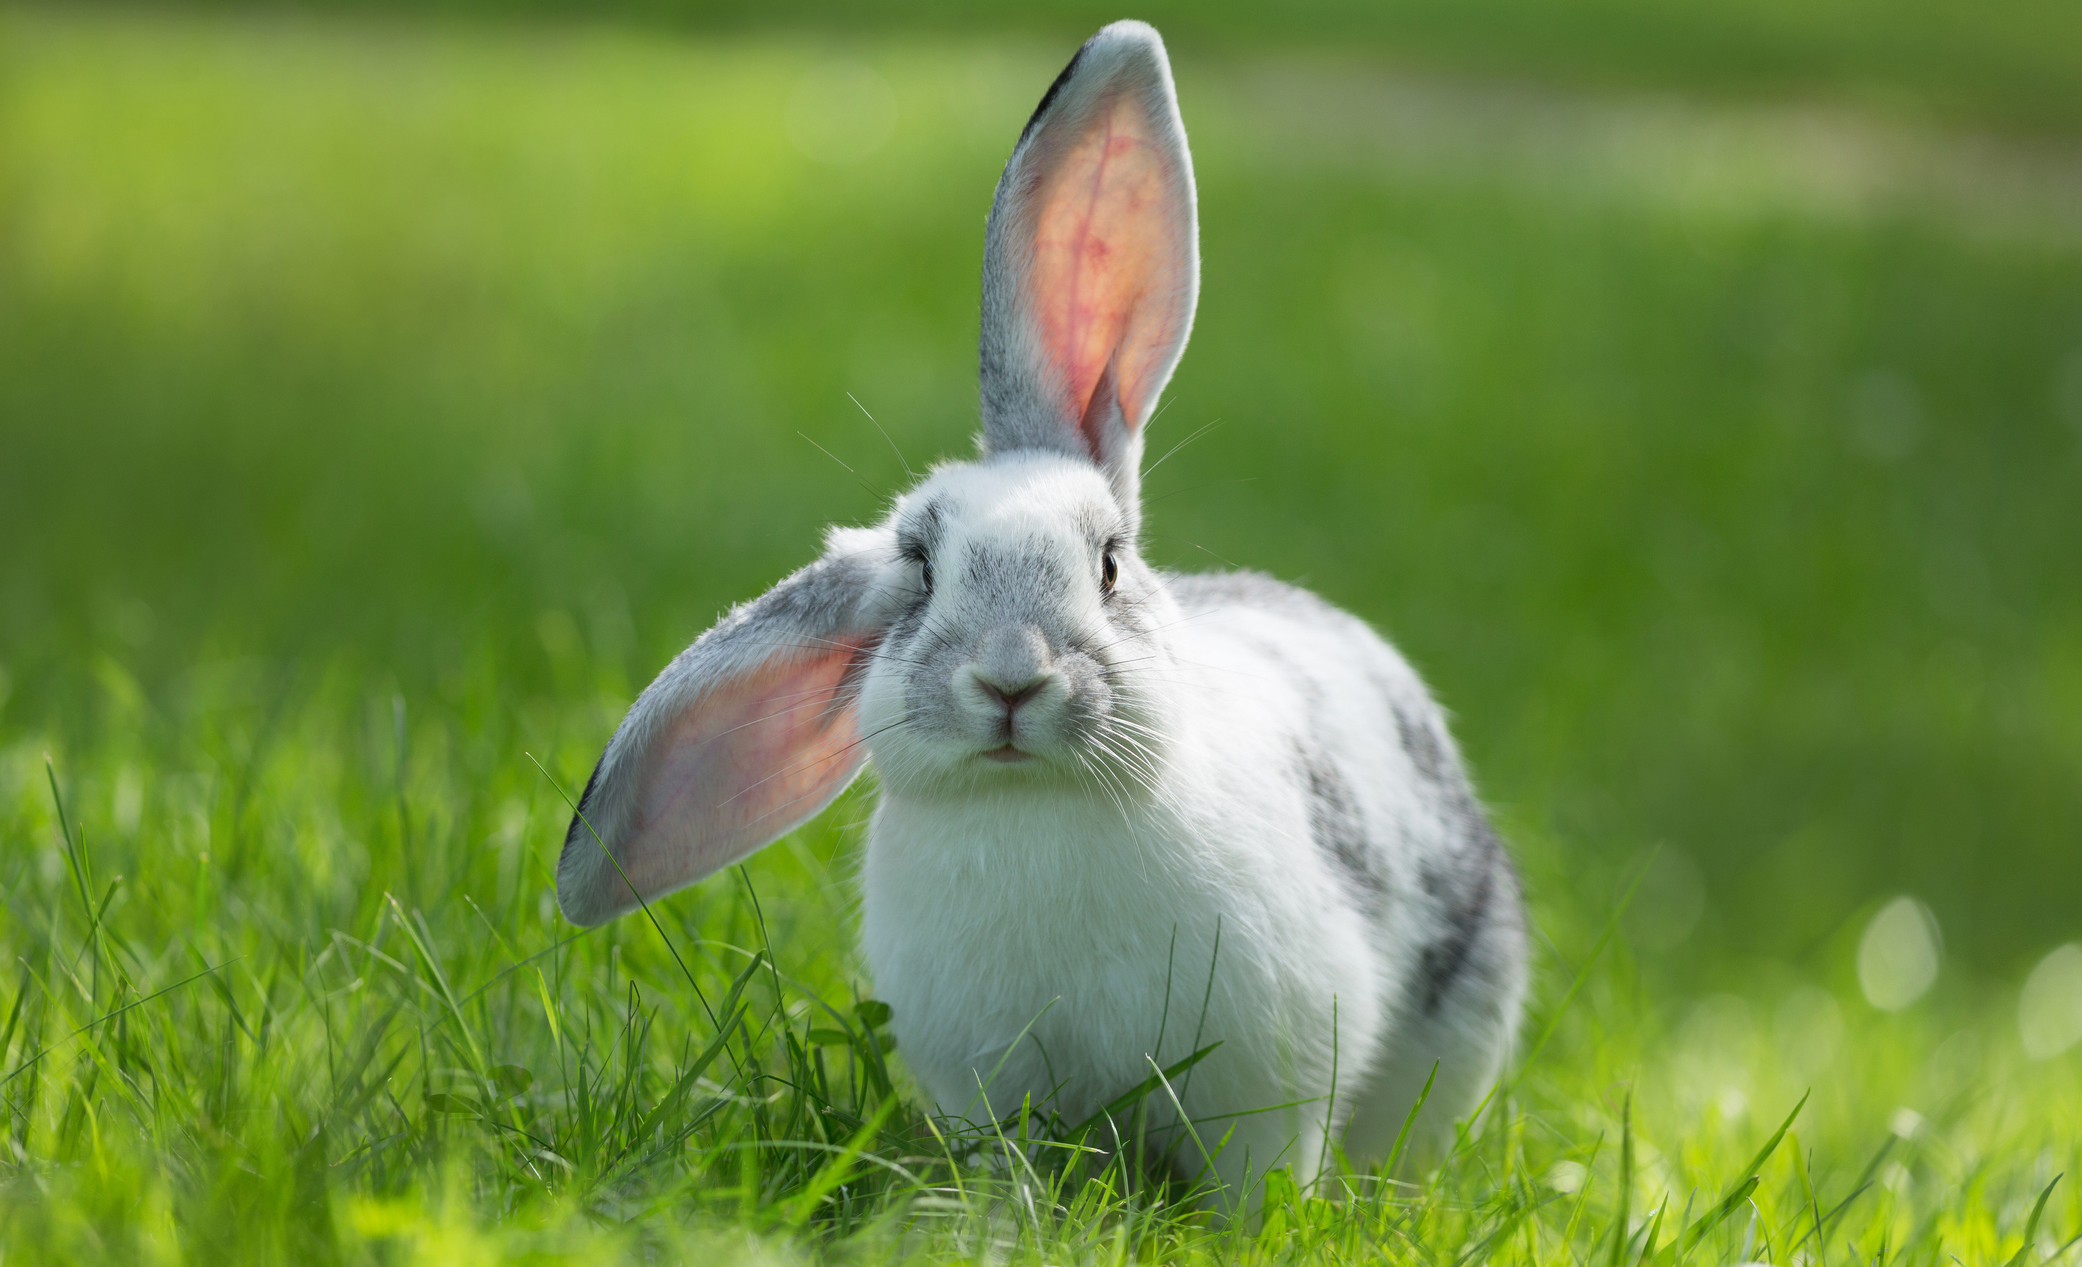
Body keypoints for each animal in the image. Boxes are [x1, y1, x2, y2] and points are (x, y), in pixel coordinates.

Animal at [555, 19, 1527, 1204]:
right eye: (922, 572)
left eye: (1108, 564)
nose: (1013, 676)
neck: (1038, 810)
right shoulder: (987, 1087)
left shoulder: (1273, 1083)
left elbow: (1260, 1182)